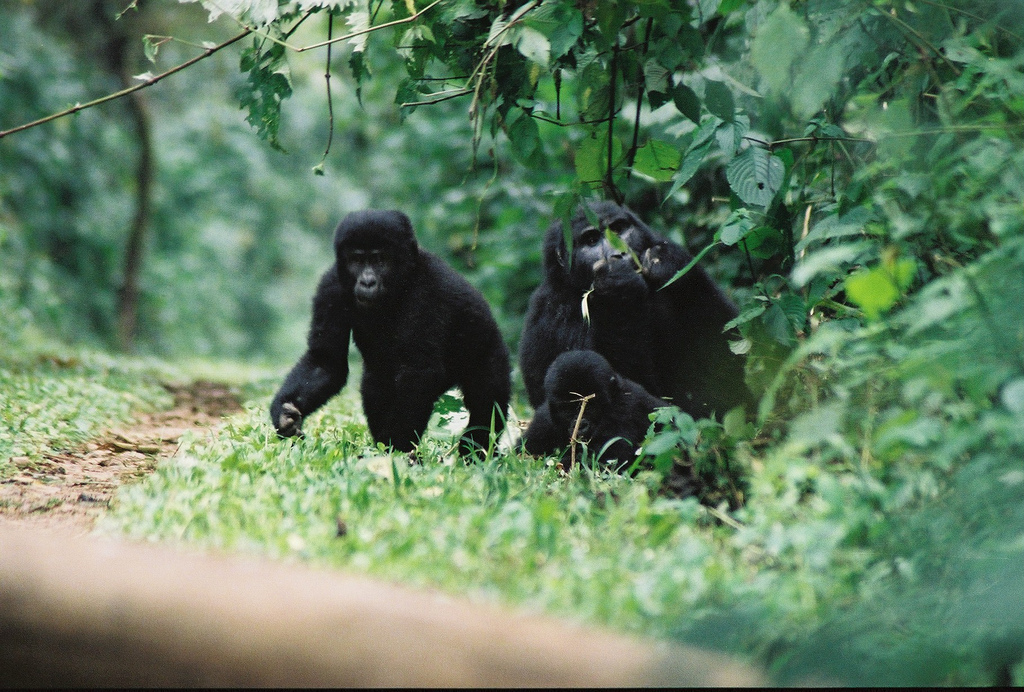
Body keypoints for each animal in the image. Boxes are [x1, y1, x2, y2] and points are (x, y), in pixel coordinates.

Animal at [270, 207, 509, 456]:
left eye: (379, 260)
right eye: (357, 260)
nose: (367, 282)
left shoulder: (429, 291)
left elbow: (418, 372)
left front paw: (398, 451)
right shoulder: (331, 285)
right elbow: (325, 361)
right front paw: (284, 413)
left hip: (491, 348)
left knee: (486, 400)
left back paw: (476, 451)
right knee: (375, 385)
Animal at [520, 198, 753, 415]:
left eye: (618, 229)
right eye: (592, 240)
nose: (620, 253)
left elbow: (727, 347)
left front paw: (665, 260)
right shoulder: (557, 315)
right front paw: (618, 292)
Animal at [524, 352, 667, 464]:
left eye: (590, 406)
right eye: (567, 408)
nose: (580, 425)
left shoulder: (623, 408)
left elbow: (611, 458)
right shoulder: (545, 419)